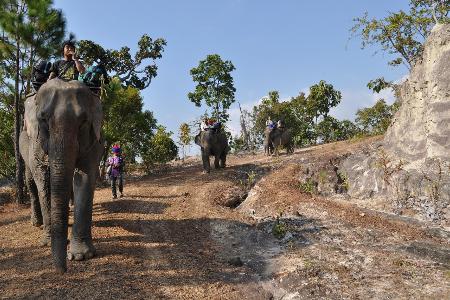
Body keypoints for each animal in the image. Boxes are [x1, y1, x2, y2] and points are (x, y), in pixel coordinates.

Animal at [19, 78, 103, 274]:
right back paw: (36, 223)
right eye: (43, 119)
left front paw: (80, 256)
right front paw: (47, 242)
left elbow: (84, 177)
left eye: (83, 121)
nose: (63, 271)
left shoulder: (94, 140)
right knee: (31, 182)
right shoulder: (36, 141)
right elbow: (43, 178)